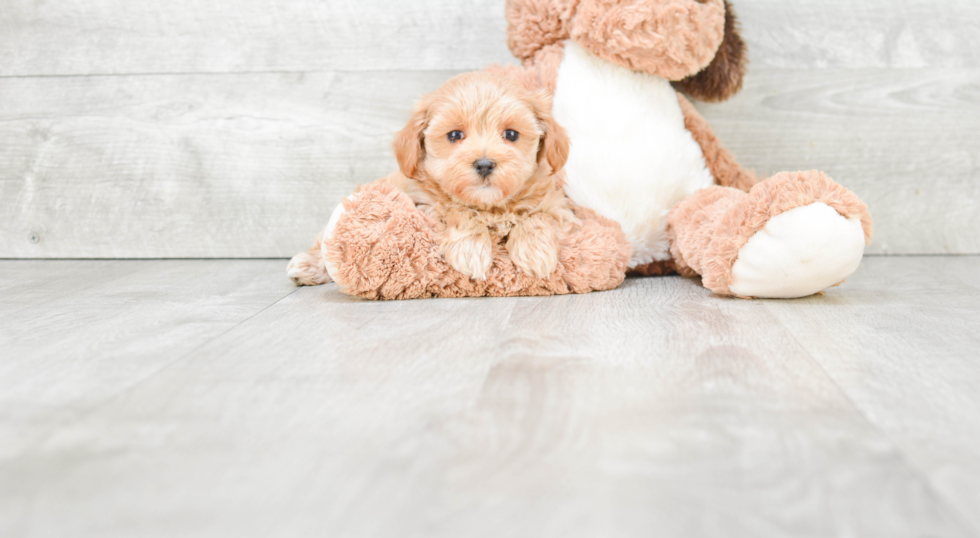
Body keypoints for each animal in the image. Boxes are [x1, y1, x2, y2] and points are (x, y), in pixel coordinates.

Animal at [390, 70, 576, 278]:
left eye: (511, 134)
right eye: (454, 135)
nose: (484, 165)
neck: (490, 207)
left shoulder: (559, 208)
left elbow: (538, 216)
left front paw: (535, 251)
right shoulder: (425, 204)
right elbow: (458, 212)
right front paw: (470, 249)